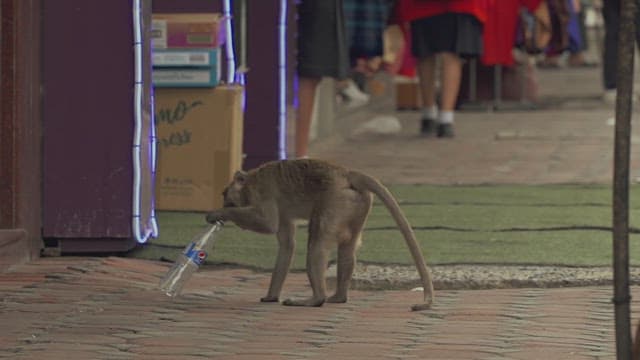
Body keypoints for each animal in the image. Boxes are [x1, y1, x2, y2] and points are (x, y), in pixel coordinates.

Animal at [206, 159, 436, 310]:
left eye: (225, 194)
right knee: (347, 249)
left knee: (317, 243)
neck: (252, 179)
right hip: (357, 202)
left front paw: (219, 214)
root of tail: (345, 173)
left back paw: (316, 299)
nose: (224, 202)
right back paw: (339, 296)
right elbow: (287, 245)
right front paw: (271, 296)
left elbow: (267, 223)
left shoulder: (263, 192)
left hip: (334, 200)